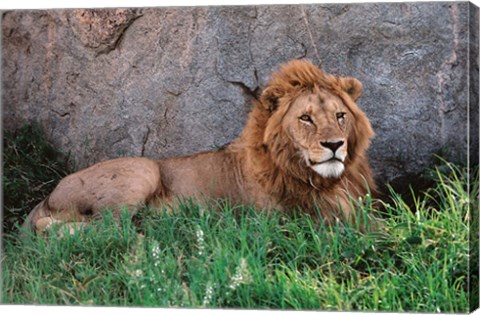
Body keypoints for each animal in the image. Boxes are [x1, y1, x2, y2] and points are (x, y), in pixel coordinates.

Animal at [21, 59, 376, 232]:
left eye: (340, 115)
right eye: (306, 118)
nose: (335, 145)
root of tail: (47, 196)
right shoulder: (296, 219)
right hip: (142, 170)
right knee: (104, 230)